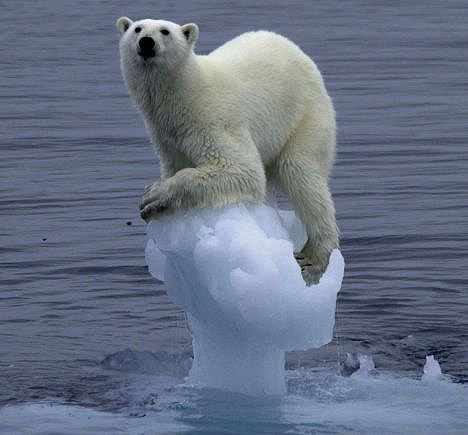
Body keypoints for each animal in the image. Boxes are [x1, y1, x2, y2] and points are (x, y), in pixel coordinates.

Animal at [115, 17, 338, 284]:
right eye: (137, 28)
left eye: (165, 31)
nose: (146, 42)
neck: (185, 93)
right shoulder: (167, 136)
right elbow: (176, 165)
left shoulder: (211, 121)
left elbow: (241, 170)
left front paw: (153, 196)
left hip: (305, 115)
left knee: (302, 175)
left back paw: (313, 259)